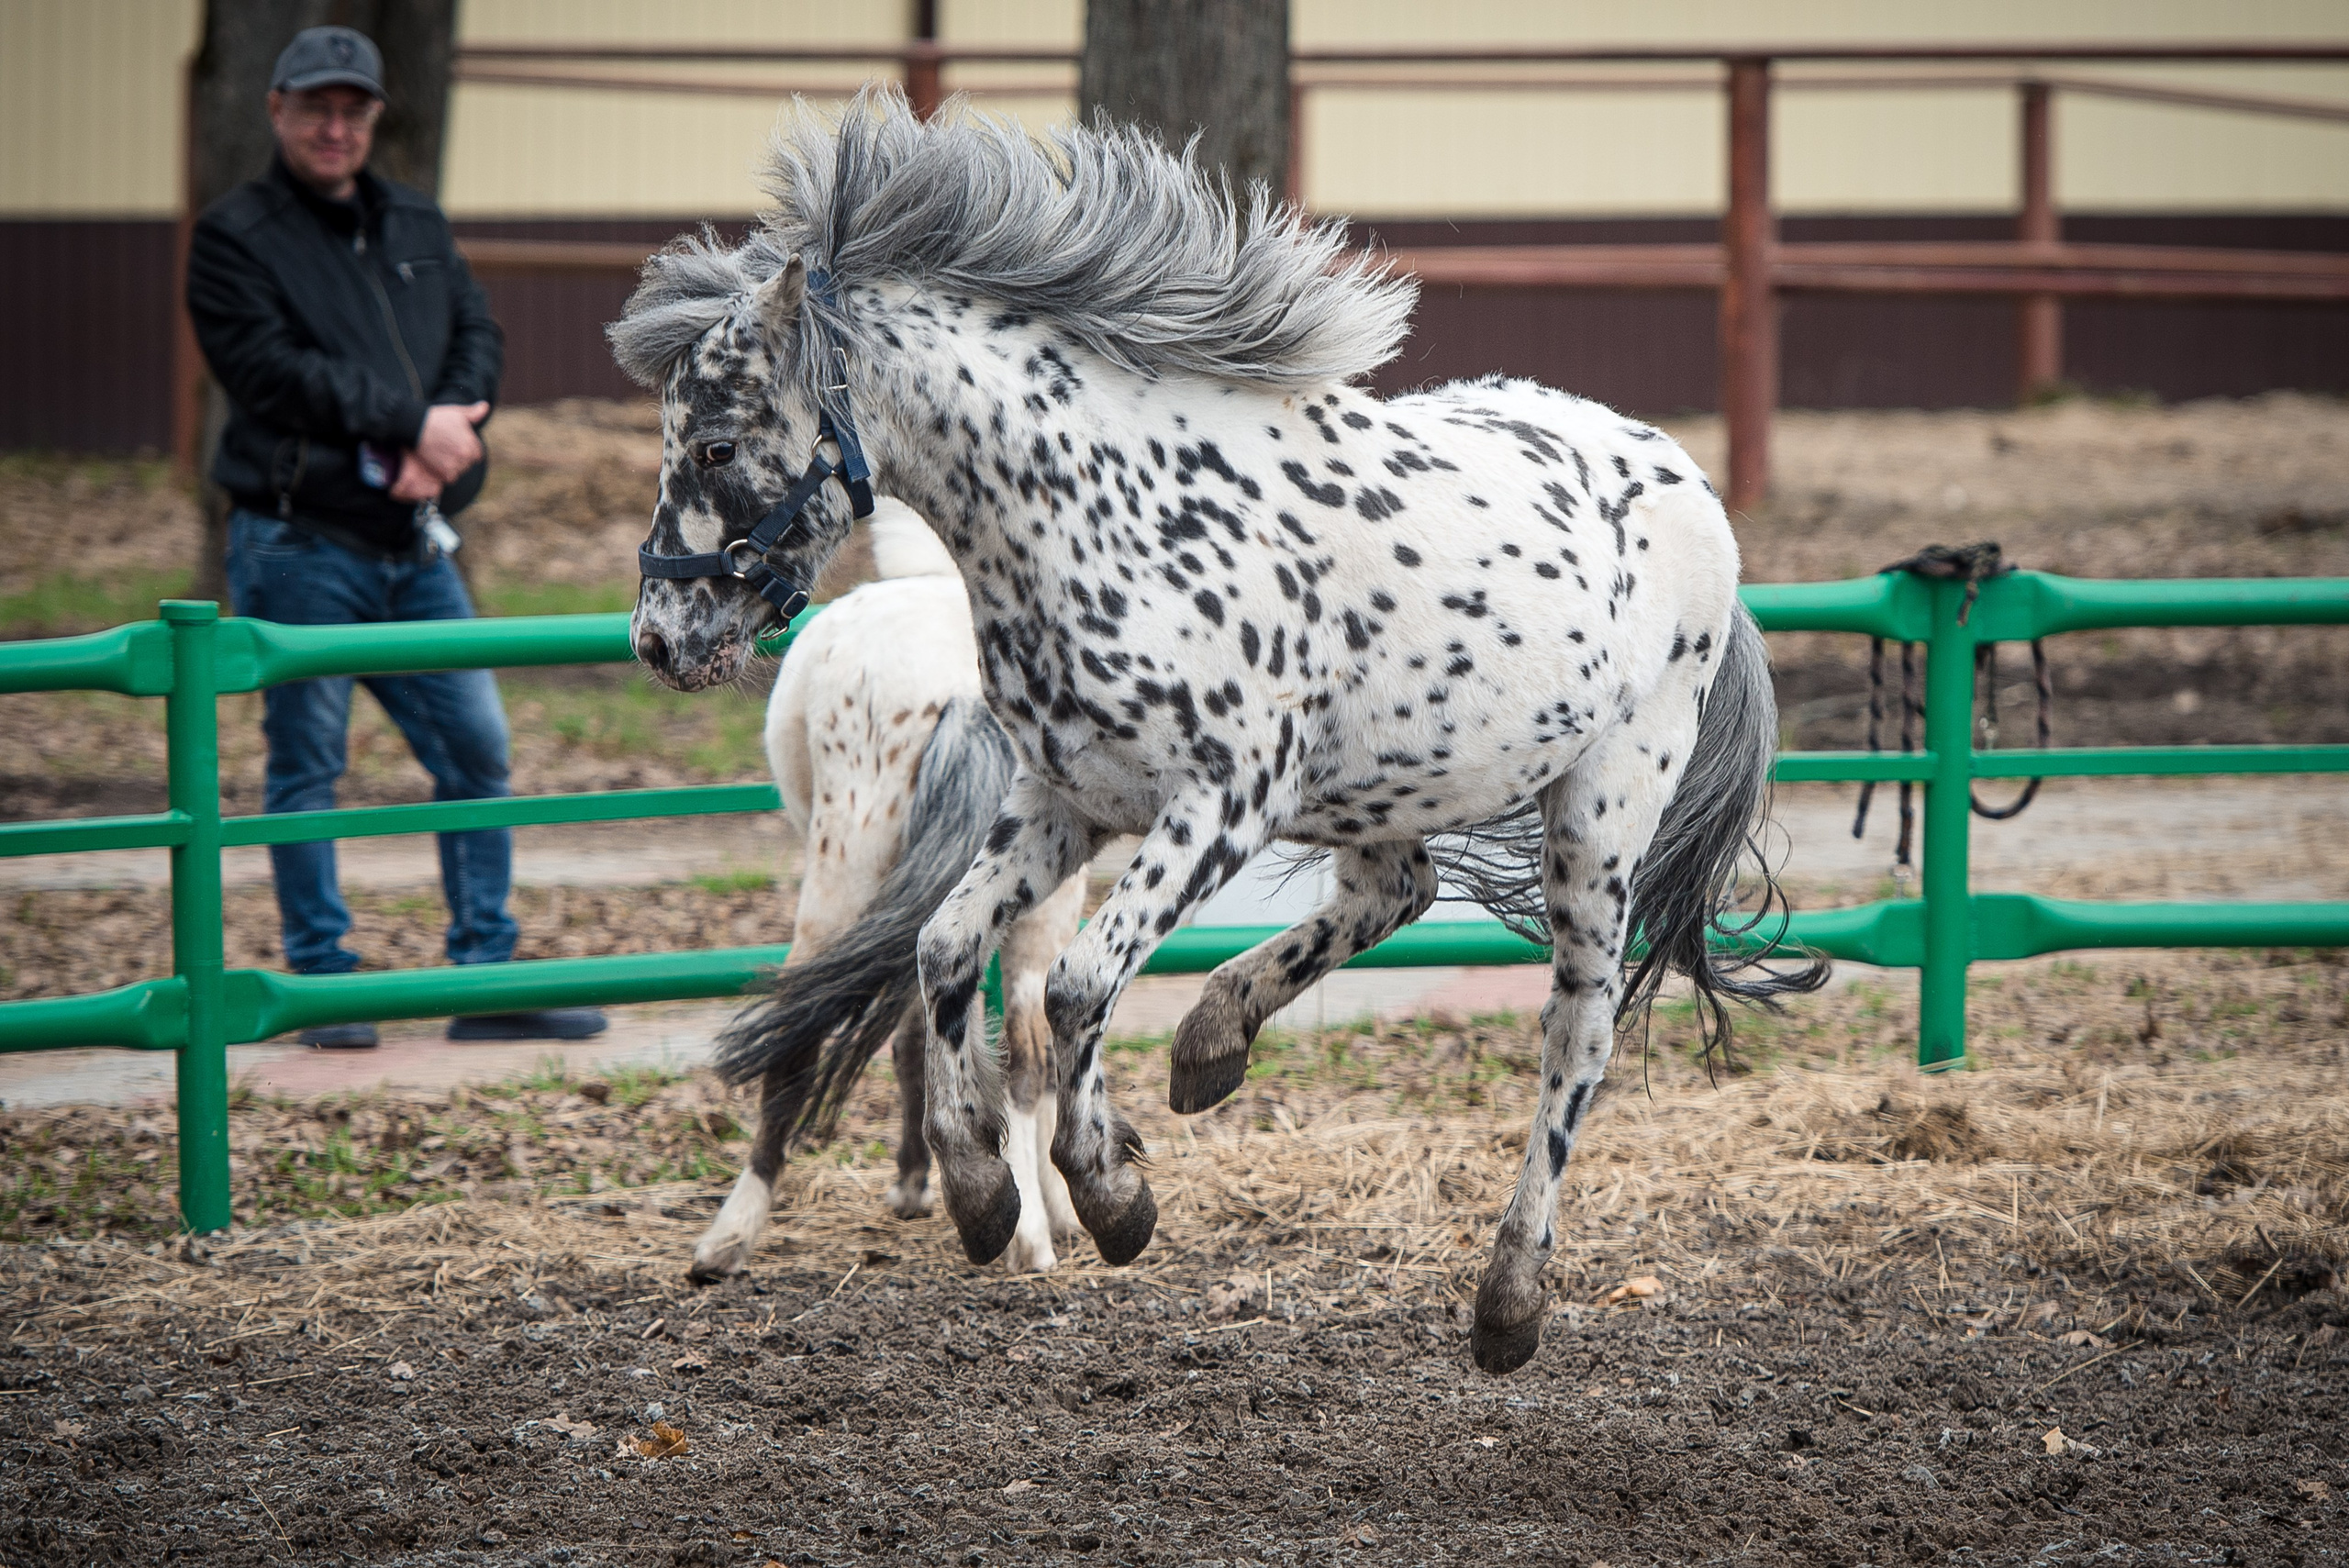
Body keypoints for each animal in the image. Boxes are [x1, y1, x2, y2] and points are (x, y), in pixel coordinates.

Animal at [687, 497, 1085, 1282]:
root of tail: (963, 684)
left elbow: (907, 1039)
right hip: (1037, 906)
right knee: (1028, 1054)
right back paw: (1030, 1237)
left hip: (847, 878)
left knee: (797, 1034)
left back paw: (731, 1233)